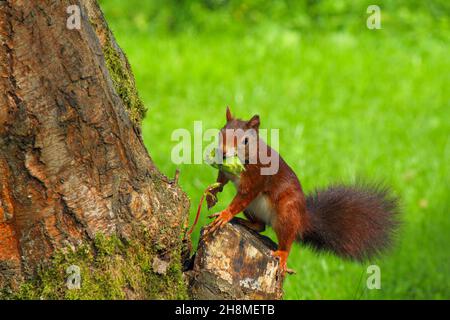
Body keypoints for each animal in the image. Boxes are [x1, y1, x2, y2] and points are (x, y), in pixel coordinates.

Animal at [203, 106, 398, 274]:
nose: (223, 153)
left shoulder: (256, 178)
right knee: (261, 226)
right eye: (220, 133)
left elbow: (243, 196)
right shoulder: (226, 171)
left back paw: (282, 255)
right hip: (253, 209)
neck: (246, 158)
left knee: (287, 239)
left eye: (245, 141)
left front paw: (225, 214)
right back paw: (245, 223)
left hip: (286, 213)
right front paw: (212, 193)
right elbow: (221, 179)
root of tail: (302, 219)